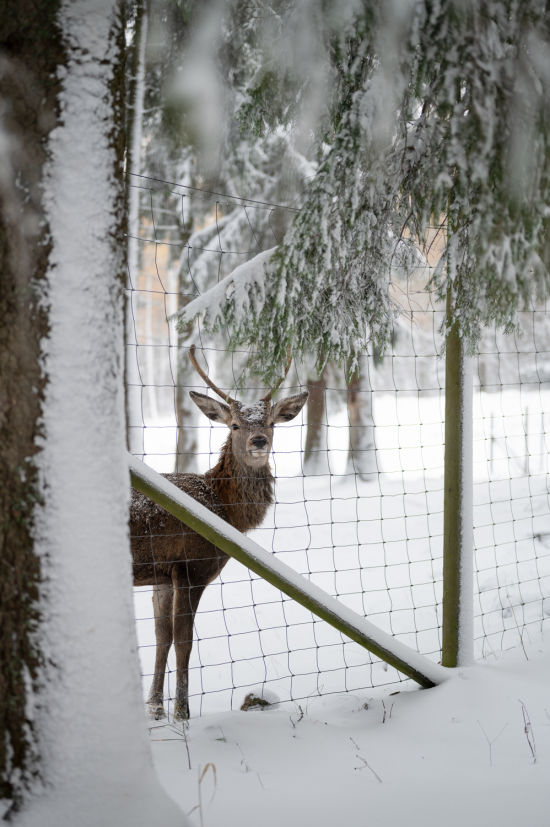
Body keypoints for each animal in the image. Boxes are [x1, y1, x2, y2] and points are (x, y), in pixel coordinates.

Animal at [130, 346, 308, 721]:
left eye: (271, 422)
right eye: (236, 424)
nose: (259, 440)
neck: (224, 511)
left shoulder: (162, 573)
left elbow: (161, 635)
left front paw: (155, 707)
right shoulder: (192, 566)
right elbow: (183, 640)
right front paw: (182, 713)